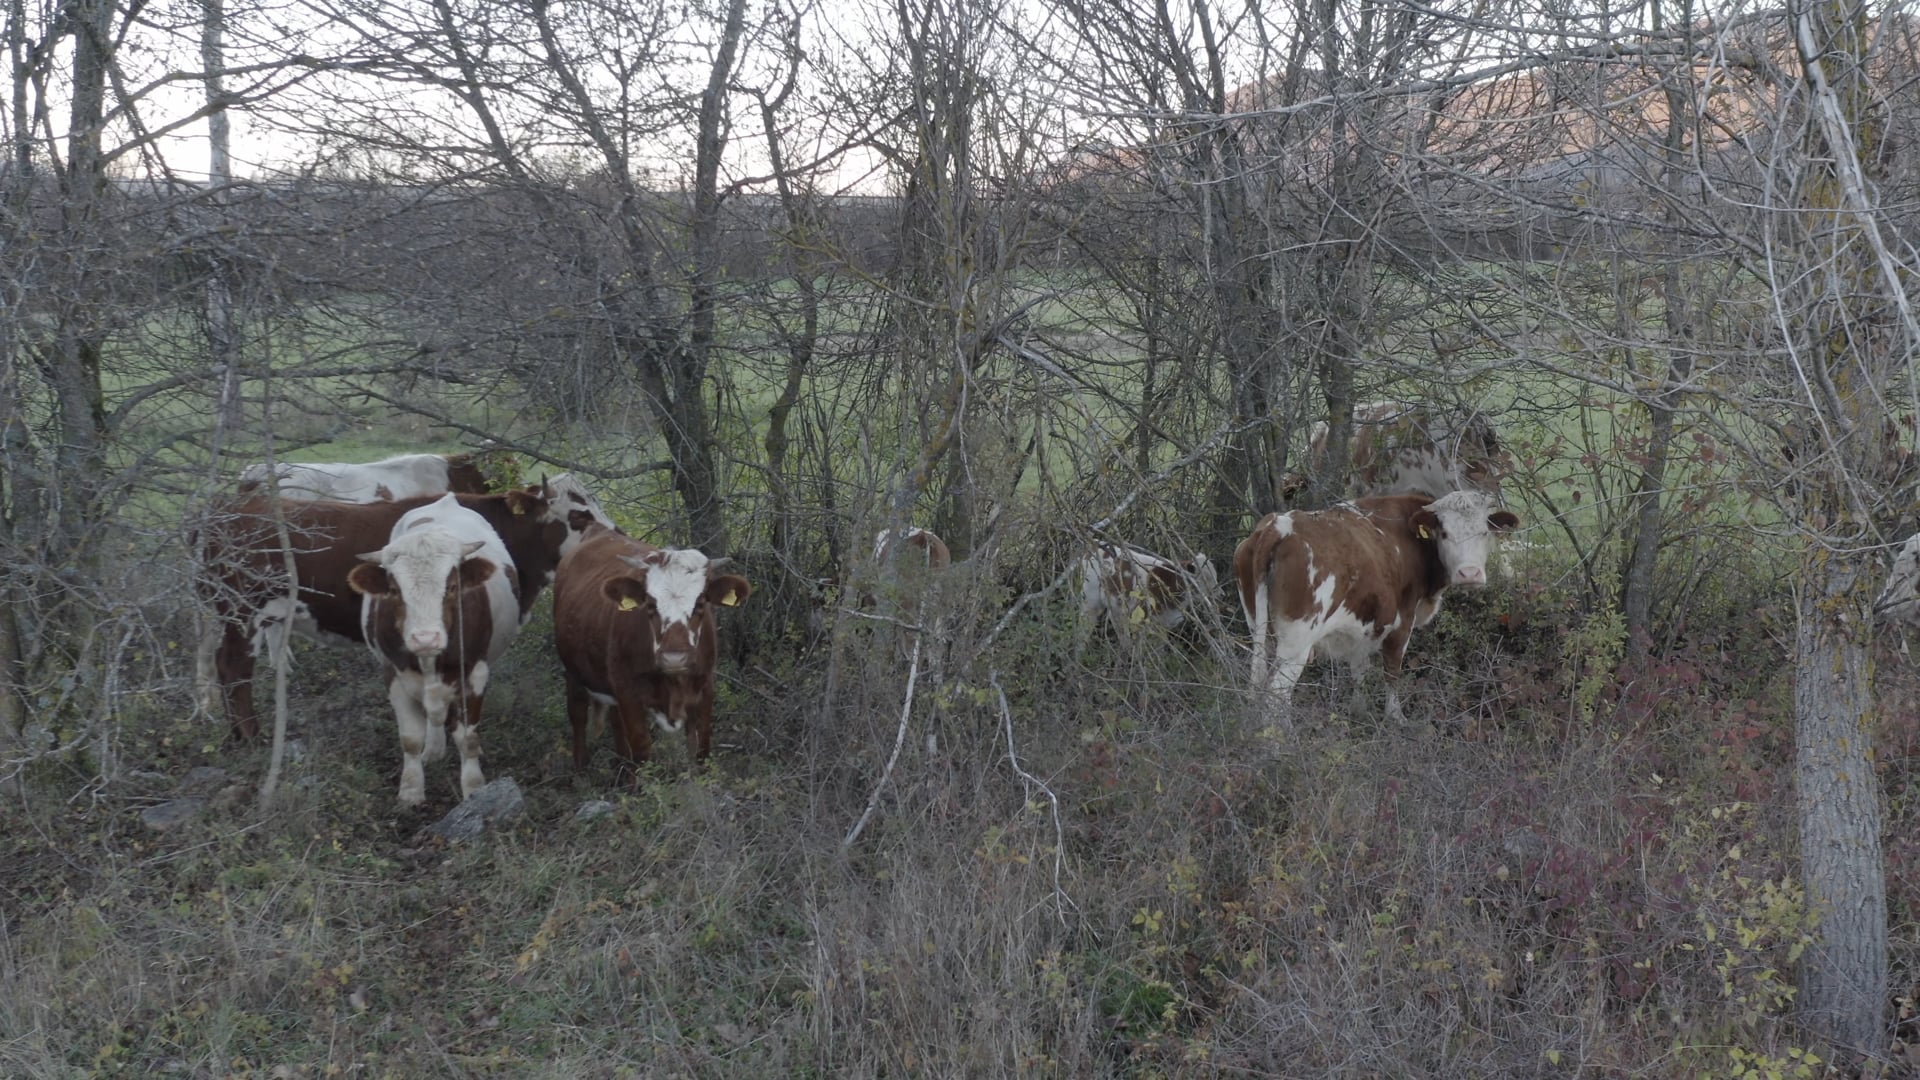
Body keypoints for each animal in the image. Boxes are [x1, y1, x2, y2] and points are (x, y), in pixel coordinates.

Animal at [198, 478, 609, 740]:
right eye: (580, 515)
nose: (613, 537)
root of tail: (225, 509)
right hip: (243, 614)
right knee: (233, 669)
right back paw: (252, 737)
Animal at [346, 495, 521, 805]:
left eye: (452, 587)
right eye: (394, 590)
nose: (425, 638)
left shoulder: (475, 674)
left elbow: (468, 738)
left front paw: (474, 787)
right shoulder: (393, 675)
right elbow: (410, 739)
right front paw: (411, 791)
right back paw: (434, 749)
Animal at [552, 526, 751, 775]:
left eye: (700, 603)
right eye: (650, 604)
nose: (674, 658)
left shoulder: (706, 686)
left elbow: (701, 746)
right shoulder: (628, 692)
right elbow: (641, 748)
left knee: (615, 723)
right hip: (573, 672)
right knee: (577, 715)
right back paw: (581, 769)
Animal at [1233, 490, 1520, 722]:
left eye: (1484, 532)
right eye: (1445, 533)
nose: (1469, 574)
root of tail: (1279, 526)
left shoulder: (1364, 624)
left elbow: (1359, 669)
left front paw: (1359, 710)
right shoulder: (1402, 620)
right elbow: (1392, 671)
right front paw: (1395, 718)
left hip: (1260, 626)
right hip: (1297, 642)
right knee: (1276, 694)